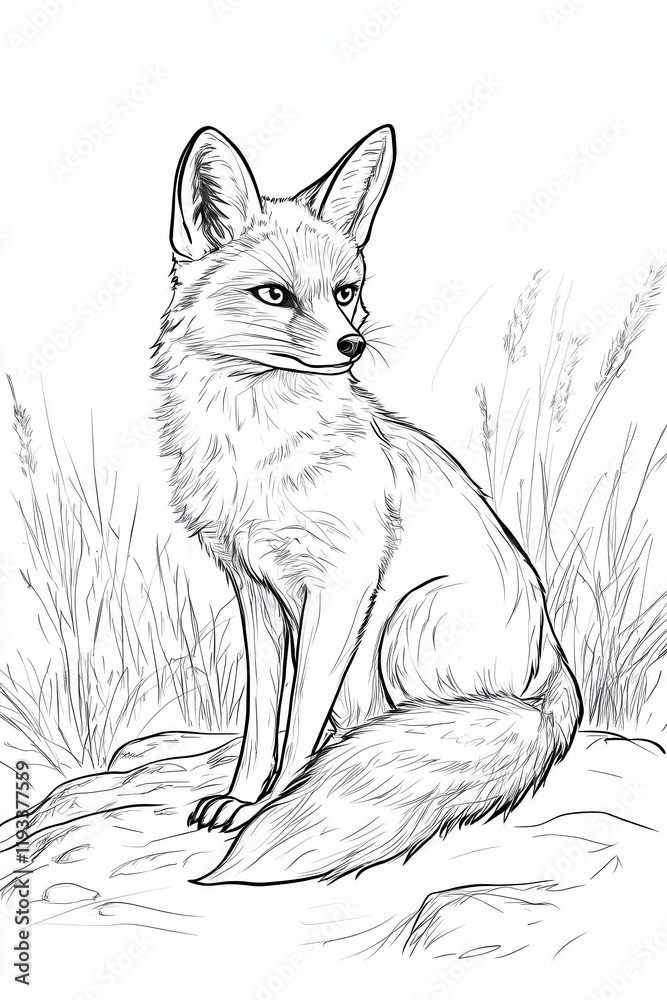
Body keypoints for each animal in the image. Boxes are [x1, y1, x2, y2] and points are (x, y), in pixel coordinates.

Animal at [152, 123, 583, 886]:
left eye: (345, 292)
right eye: (274, 294)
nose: (350, 343)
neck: (260, 449)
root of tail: (553, 664)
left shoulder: (342, 585)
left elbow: (298, 725)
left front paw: (274, 806)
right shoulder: (255, 591)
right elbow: (263, 721)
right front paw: (241, 799)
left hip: (404, 626)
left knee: (420, 724)